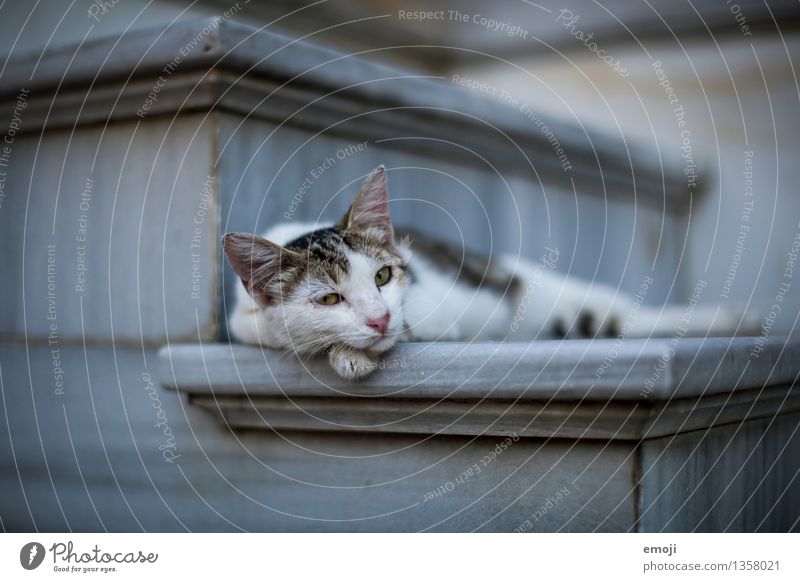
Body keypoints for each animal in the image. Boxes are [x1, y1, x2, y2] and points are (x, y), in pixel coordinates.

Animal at [222, 167, 760, 380]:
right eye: (329, 299)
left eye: (382, 277)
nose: (378, 318)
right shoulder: (242, 316)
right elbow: (260, 326)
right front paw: (340, 347)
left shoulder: (435, 310)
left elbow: (416, 328)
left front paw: (352, 354)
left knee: (618, 313)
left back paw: (730, 319)